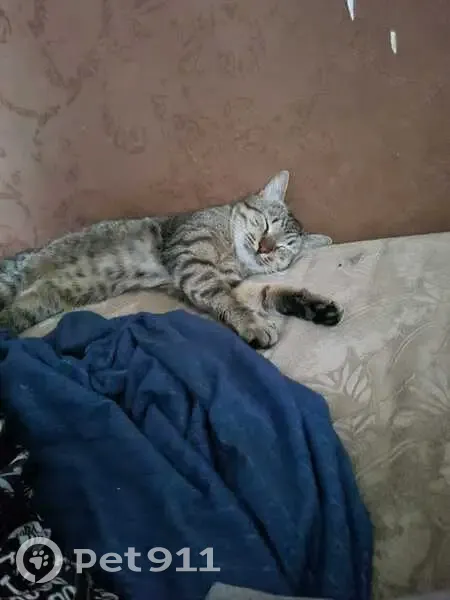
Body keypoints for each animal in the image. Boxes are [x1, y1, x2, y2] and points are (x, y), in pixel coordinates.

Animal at [0, 170, 342, 347]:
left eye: (283, 248)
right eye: (266, 224)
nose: (265, 247)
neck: (230, 252)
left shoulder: (225, 282)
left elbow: (266, 292)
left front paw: (313, 306)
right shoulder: (194, 264)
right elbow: (230, 301)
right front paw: (253, 324)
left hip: (29, 307)